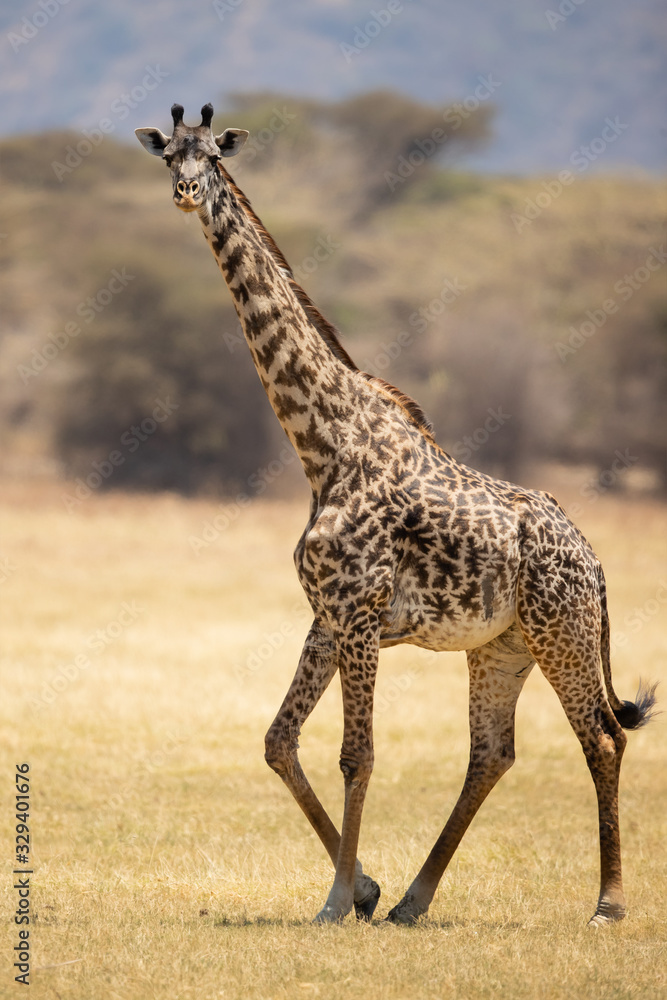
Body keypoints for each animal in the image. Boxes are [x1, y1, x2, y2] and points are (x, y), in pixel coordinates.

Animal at [135, 104, 657, 926]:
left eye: (214, 156)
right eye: (168, 158)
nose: (187, 193)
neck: (323, 444)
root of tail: (595, 562)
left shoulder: (357, 614)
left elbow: (358, 754)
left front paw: (334, 902)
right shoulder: (327, 616)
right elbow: (277, 742)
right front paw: (365, 889)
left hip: (561, 635)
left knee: (601, 740)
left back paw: (607, 902)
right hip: (500, 647)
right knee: (492, 752)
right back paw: (413, 898)